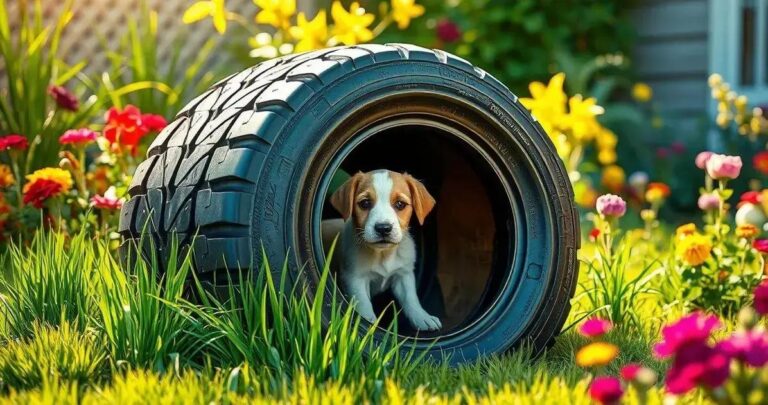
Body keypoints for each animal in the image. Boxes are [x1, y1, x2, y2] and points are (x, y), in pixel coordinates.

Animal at [326, 169, 444, 330]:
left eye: (400, 204)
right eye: (365, 203)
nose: (383, 228)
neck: (383, 254)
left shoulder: (404, 275)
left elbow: (411, 299)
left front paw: (422, 317)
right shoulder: (355, 279)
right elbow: (364, 306)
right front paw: (368, 324)